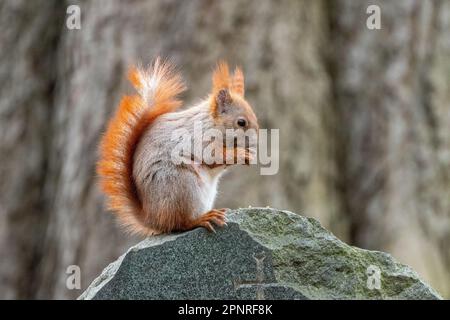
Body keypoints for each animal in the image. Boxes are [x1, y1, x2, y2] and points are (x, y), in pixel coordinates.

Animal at [97, 58, 260, 236]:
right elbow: (213, 156)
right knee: (181, 223)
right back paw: (202, 219)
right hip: (182, 186)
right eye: (241, 122)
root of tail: (152, 219)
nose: (256, 142)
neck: (211, 122)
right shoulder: (201, 139)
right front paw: (242, 154)